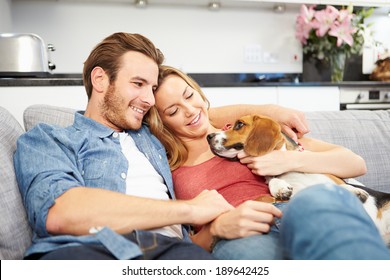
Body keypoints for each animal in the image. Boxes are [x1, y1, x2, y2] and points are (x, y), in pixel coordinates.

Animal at [207, 114, 390, 243]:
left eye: (239, 125)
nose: (209, 136)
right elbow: (274, 181)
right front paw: (280, 188)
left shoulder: (332, 177)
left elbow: (341, 185)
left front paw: (353, 190)